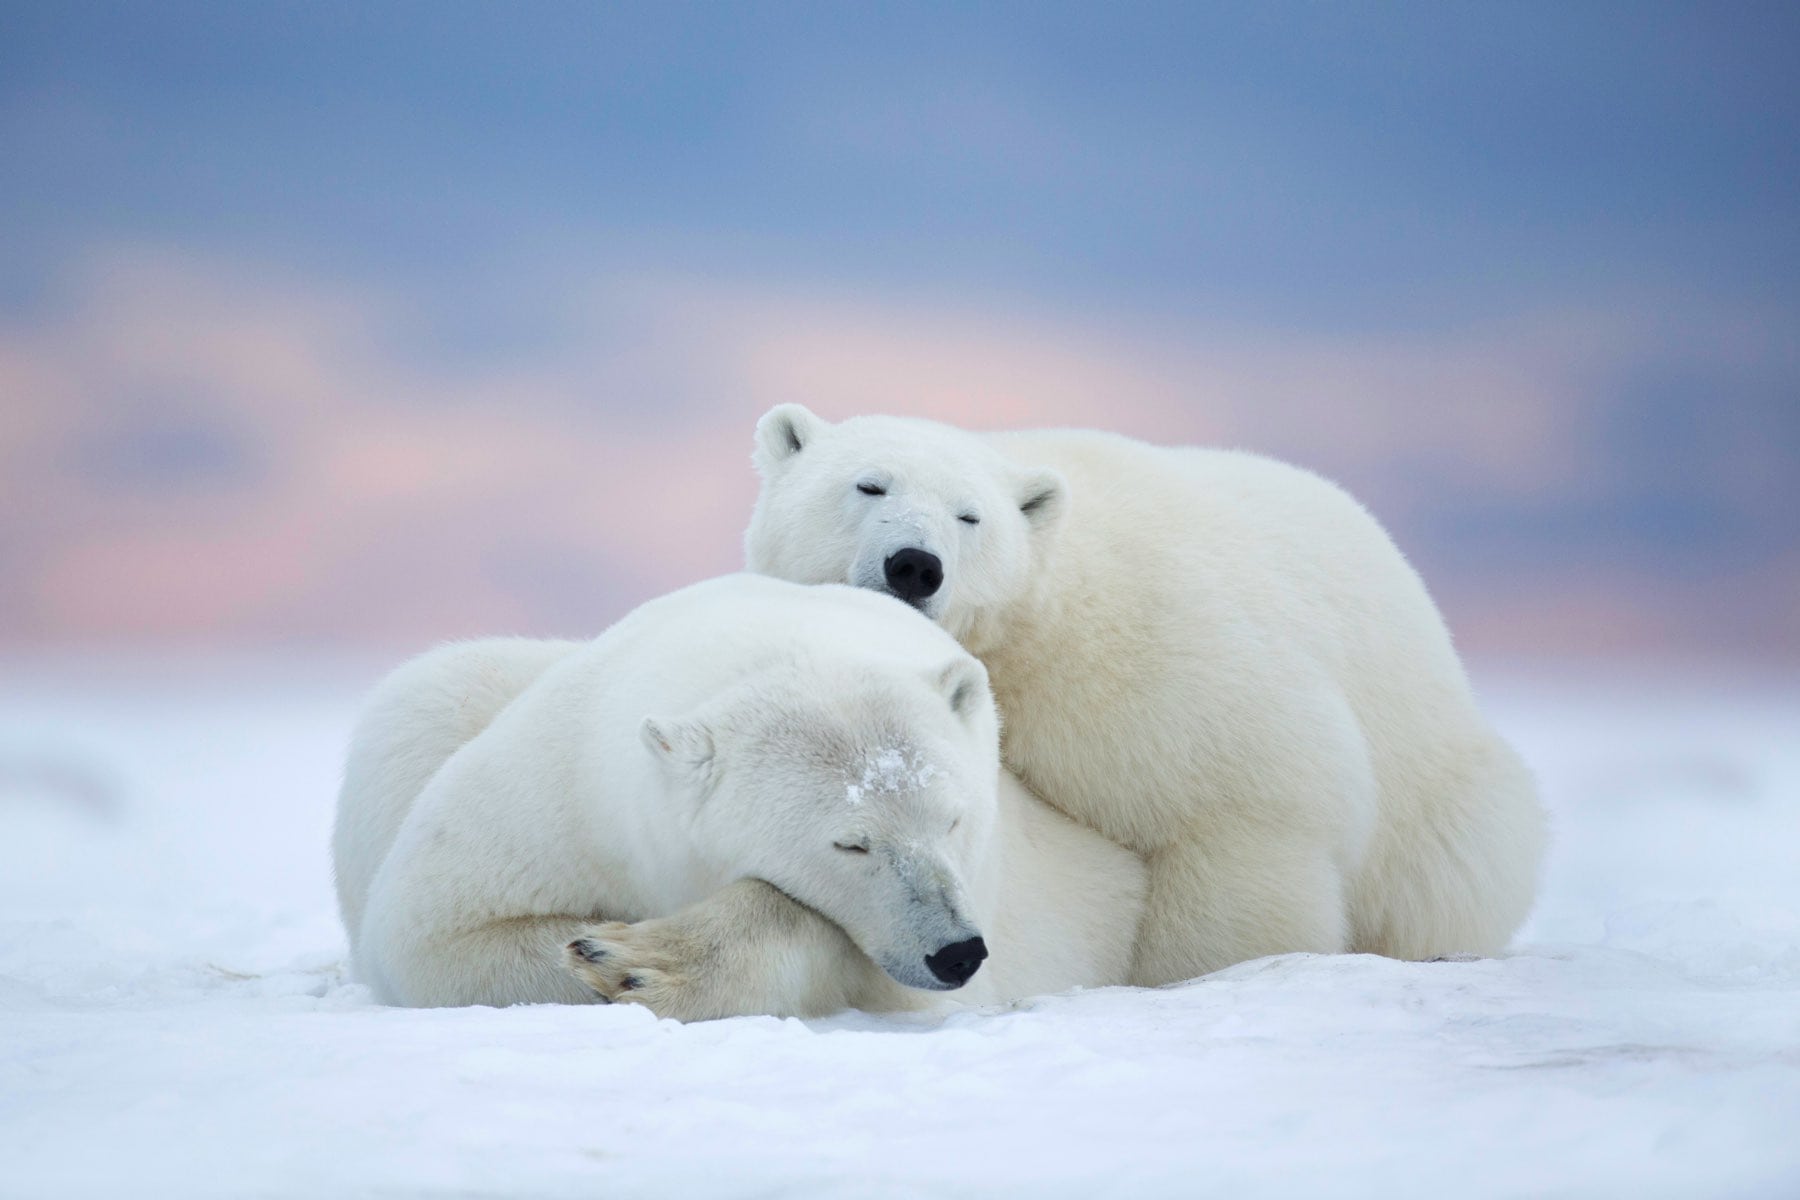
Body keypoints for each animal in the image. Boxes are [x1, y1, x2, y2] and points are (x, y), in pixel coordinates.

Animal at [333, 575, 1144, 1021]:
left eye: (953, 819)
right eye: (851, 842)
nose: (956, 951)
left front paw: (639, 961)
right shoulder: (563, 791)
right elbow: (433, 933)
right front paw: (604, 950)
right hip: (433, 705)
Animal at [745, 408, 1548, 993]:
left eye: (971, 516)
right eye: (869, 486)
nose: (915, 564)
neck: (1036, 626)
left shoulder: (1158, 665)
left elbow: (1241, 812)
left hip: (1440, 794)